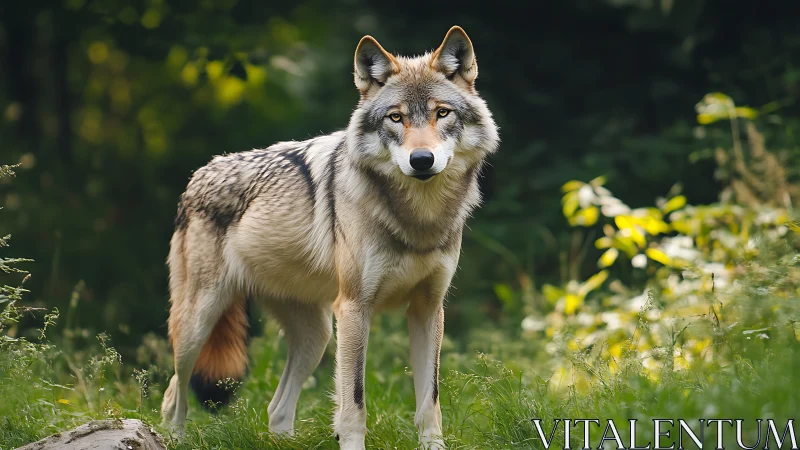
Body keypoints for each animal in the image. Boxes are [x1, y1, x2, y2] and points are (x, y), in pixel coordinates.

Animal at [160, 26, 499, 449]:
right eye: (396, 117)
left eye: (442, 113)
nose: (421, 160)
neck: (418, 219)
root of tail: (198, 175)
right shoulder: (354, 308)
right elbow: (353, 400)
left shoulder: (428, 309)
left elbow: (430, 400)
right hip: (198, 324)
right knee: (173, 394)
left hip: (316, 337)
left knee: (276, 408)